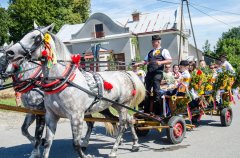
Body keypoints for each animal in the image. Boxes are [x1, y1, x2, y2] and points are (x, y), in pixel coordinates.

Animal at [6, 23, 145, 158]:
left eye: (36, 38)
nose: (10, 52)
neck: (63, 81)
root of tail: (125, 73)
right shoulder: (50, 115)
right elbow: (47, 142)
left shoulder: (75, 116)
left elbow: (76, 143)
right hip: (112, 105)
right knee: (127, 120)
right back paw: (134, 143)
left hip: (123, 105)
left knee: (122, 124)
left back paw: (114, 150)